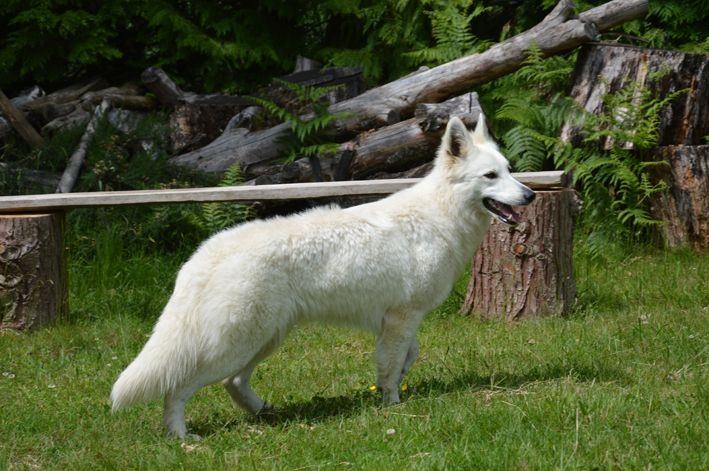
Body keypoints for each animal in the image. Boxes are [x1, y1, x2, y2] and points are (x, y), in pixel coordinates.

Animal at [109, 114, 532, 438]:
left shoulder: (398, 322)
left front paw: (392, 388)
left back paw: (264, 412)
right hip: (235, 345)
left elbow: (406, 357)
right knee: (177, 388)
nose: (529, 195)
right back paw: (181, 436)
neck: (439, 215)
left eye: (510, 171)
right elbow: (392, 365)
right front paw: (392, 405)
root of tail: (203, 256)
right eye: (490, 175)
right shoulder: (402, 317)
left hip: (265, 339)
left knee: (234, 383)